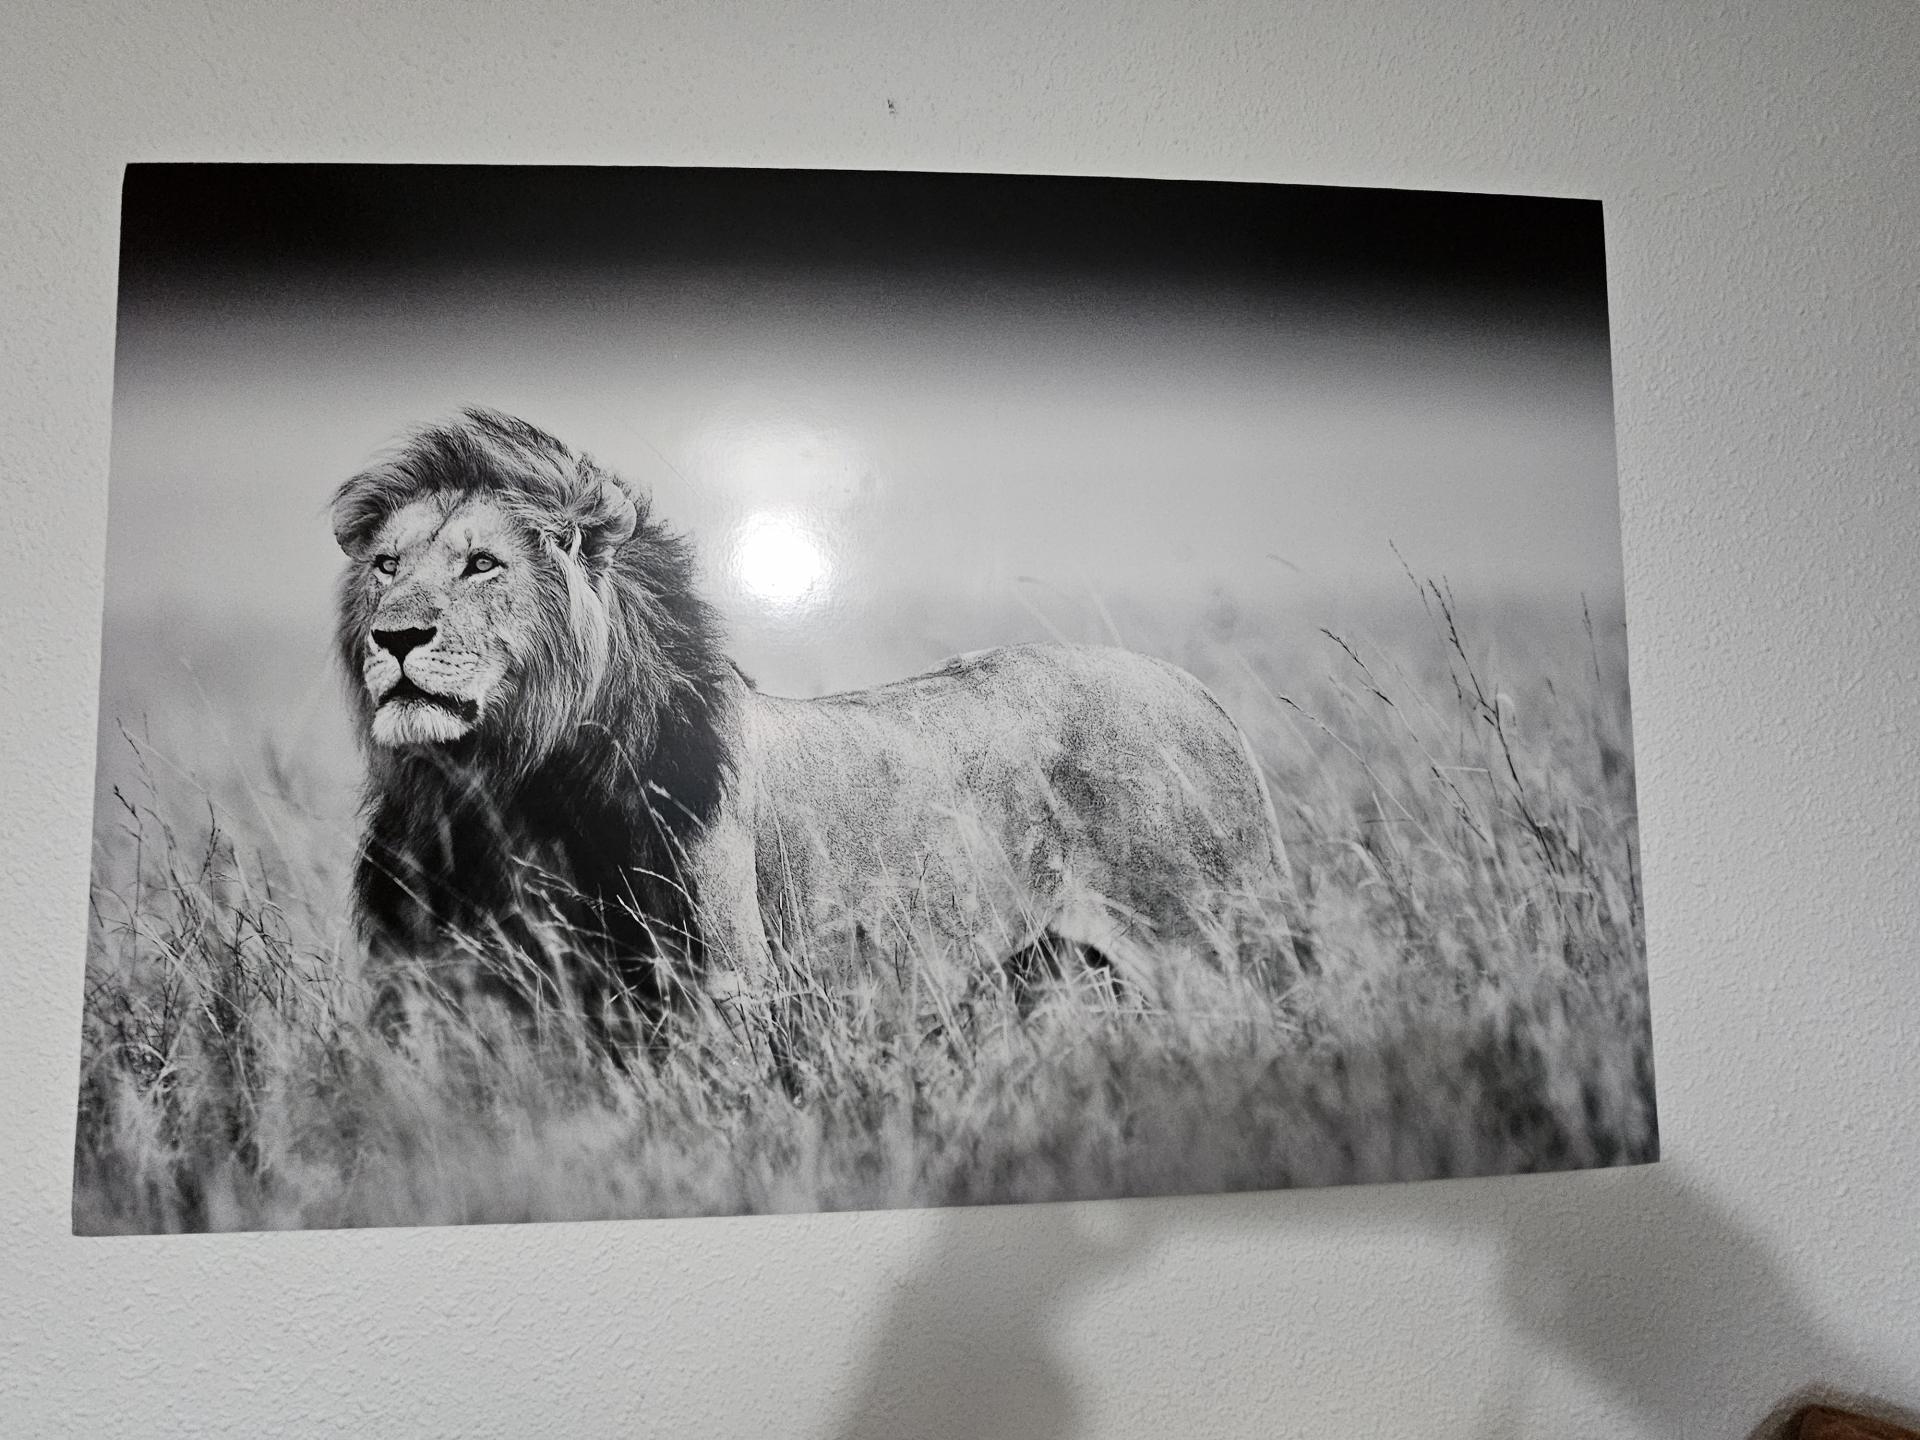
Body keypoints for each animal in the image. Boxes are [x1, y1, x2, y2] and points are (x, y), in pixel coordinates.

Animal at [332, 408, 1304, 1049]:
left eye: (482, 565)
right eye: (386, 566)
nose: (396, 637)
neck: (502, 788)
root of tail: (1193, 690)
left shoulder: (720, 992)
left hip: (1215, 947)